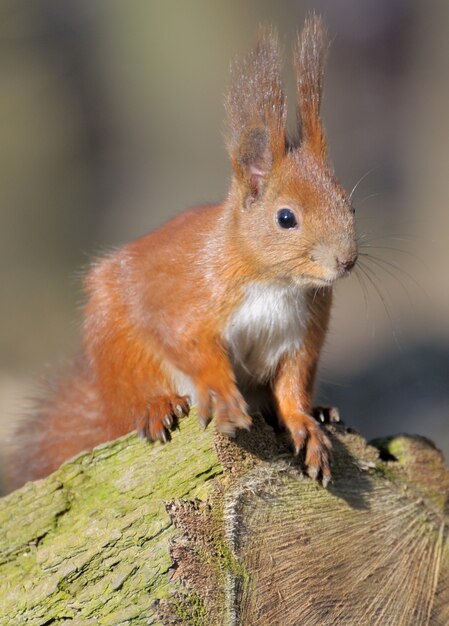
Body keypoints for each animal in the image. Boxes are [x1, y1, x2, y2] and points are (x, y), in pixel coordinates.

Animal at [6, 15, 356, 488]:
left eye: (350, 205)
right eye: (286, 218)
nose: (346, 260)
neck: (274, 284)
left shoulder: (299, 338)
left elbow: (292, 387)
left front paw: (305, 424)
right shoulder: (188, 298)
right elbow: (189, 344)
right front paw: (222, 394)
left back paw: (321, 411)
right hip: (119, 348)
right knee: (132, 398)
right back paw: (155, 406)